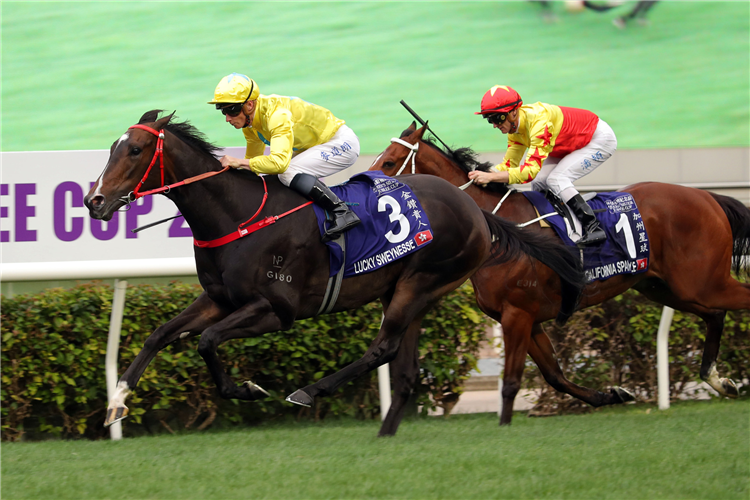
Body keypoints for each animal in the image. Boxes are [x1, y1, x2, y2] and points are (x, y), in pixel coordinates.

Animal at [83, 111, 588, 436]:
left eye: (134, 149)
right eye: (111, 148)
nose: (94, 201)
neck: (237, 215)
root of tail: (474, 209)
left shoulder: (274, 309)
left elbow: (206, 342)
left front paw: (247, 387)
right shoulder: (219, 299)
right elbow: (160, 334)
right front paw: (116, 402)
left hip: (422, 284)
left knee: (382, 349)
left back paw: (309, 392)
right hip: (405, 289)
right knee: (402, 365)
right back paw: (384, 432)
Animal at [370, 123, 750, 424]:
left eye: (388, 162)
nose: (363, 185)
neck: (502, 232)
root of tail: (707, 197)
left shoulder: (518, 314)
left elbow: (512, 381)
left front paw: (503, 429)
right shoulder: (525, 317)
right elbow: (554, 375)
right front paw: (613, 395)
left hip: (702, 281)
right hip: (669, 287)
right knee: (715, 314)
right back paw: (720, 381)